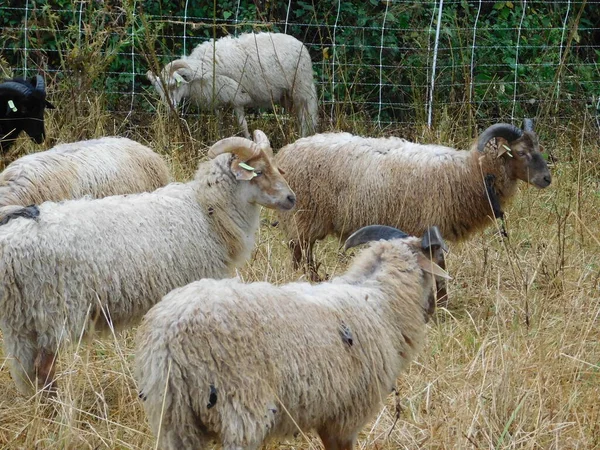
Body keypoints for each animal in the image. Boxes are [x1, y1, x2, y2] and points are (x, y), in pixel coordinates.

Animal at [134, 223, 448, 448]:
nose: (435, 309)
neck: (379, 300)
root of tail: (170, 333)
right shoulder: (345, 418)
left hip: (173, 419)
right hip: (240, 413)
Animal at [146, 31, 318, 138]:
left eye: (174, 85)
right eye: (159, 91)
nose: (170, 109)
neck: (202, 70)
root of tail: (300, 44)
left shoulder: (237, 98)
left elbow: (243, 126)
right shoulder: (218, 101)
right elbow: (220, 126)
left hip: (301, 90)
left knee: (306, 118)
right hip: (288, 96)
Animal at [274, 118, 552, 278]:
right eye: (521, 152)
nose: (547, 178)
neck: (469, 172)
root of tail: (285, 153)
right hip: (303, 216)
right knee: (299, 253)